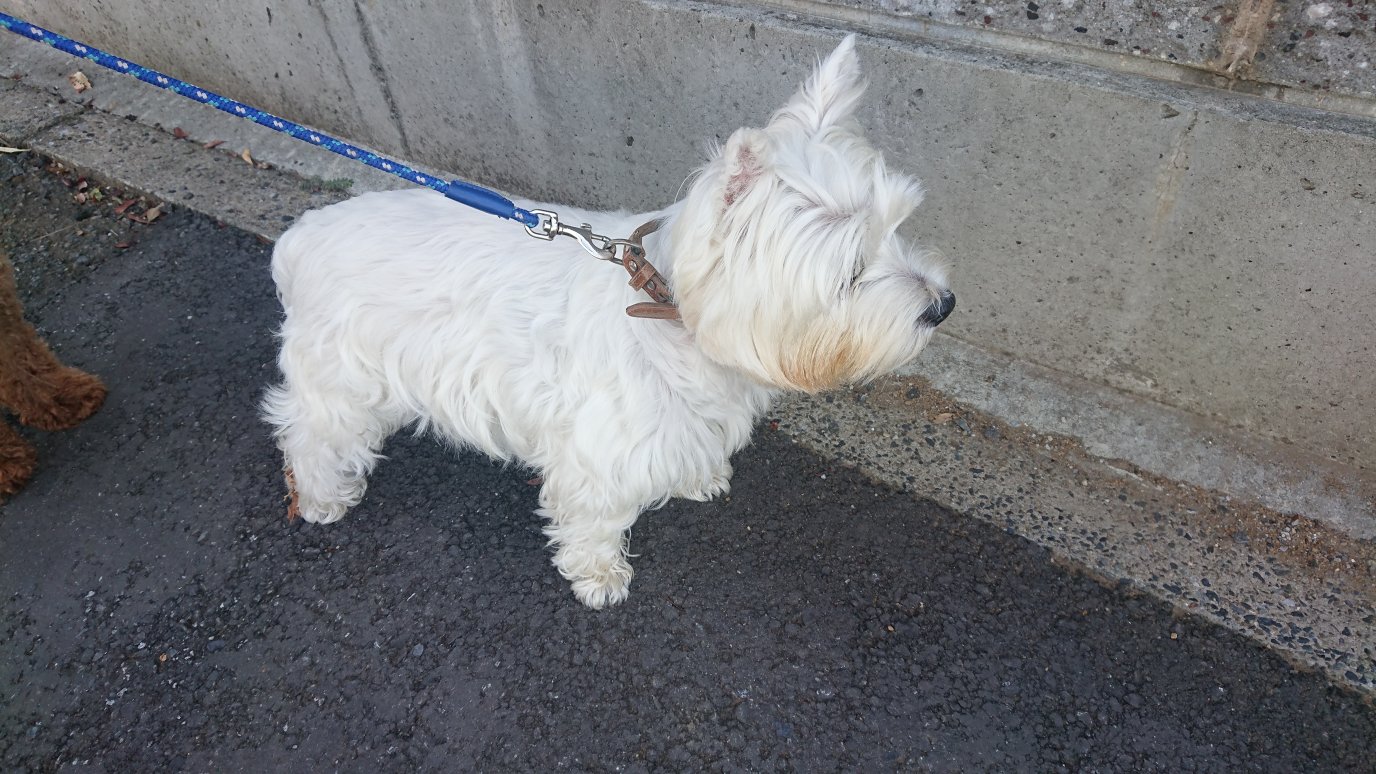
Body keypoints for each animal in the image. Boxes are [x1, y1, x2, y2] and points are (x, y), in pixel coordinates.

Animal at [262, 35, 954, 607]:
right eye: (849, 271)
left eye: (897, 228)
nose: (942, 306)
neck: (669, 311)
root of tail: (299, 238)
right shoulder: (598, 450)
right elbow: (595, 516)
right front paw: (599, 577)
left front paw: (699, 479)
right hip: (341, 378)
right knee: (308, 432)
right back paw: (322, 498)